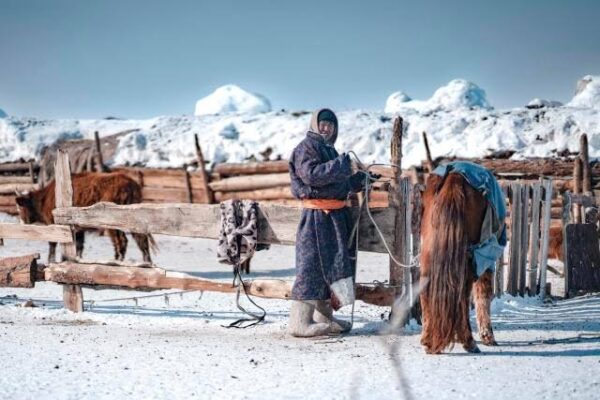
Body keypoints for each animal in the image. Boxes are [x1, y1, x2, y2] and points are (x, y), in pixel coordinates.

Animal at [15, 171, 156, 262]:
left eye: (20, 207)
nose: (22, 222)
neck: (44, 198)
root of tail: (130, 184)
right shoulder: (78, 229)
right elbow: (79, 245)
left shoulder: (54, 224)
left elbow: (53, 243)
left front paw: (51, 260)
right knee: (140, 239)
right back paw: (146, 261)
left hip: (114, 224)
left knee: (121, 241)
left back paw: (118, 260)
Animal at [418, 173, 496, 354]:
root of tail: (455, 179)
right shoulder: (485, 260)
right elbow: (483, 293)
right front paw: (487, 336)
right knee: (463, 295)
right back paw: (469, 342)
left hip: (429, 253)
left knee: (426, 289)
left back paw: (428, 339)